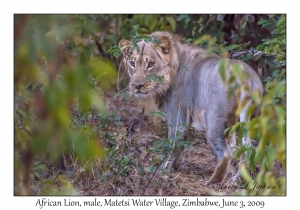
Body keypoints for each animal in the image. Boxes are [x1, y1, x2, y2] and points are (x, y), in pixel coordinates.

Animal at [118, 31, 264, 184]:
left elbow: (175, 142)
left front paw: (163, 171)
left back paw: (214, 181)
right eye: (132, 63)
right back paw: (238, 179)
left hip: (214, 121)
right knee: (244, 148)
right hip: (242, 121)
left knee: (225, 154)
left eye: (150, 64)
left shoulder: (178, 113)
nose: (137, 86)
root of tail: (246, 77)